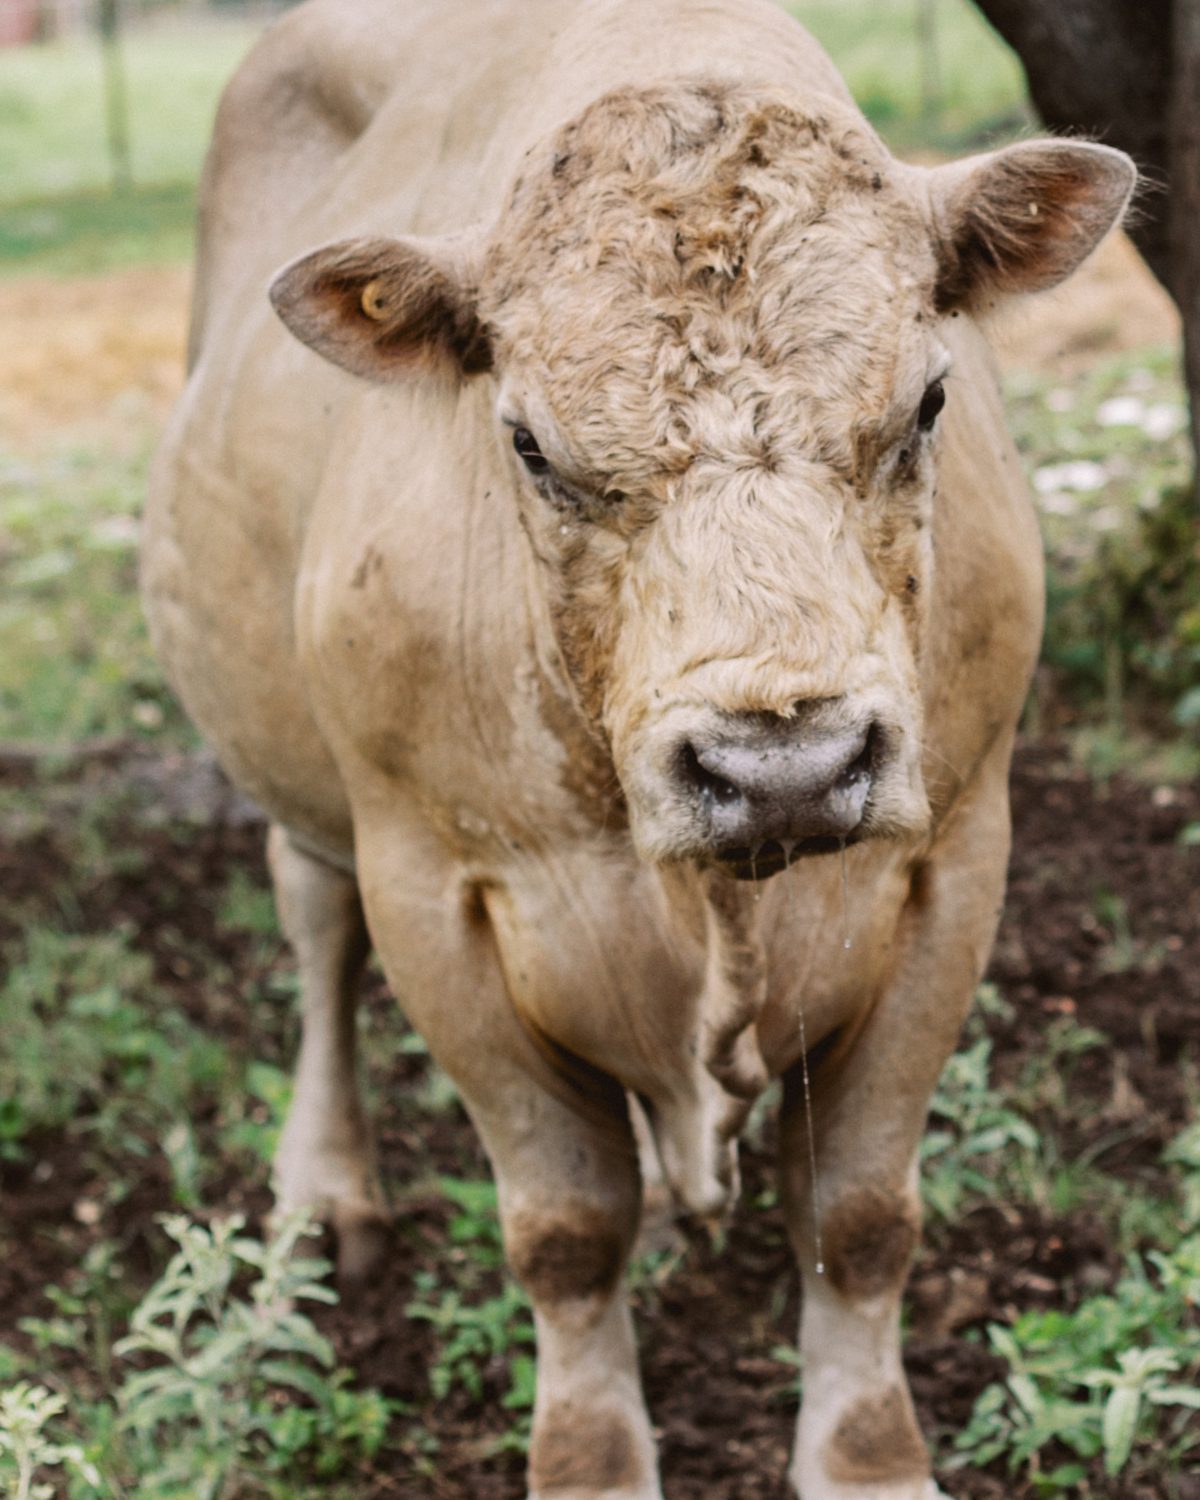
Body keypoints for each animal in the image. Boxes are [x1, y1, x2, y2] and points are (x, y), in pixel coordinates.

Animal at [141, 0, 1134, 1494]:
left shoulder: (956, 861)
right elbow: (564, 1228)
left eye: (926, 406)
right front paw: (591, 1457)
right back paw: (325, 1195)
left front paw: (868, 1457)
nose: (784, 764)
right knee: (316, 937)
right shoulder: (437, 890)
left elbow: (859, 1212)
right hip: (300, 784)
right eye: (531, 447)